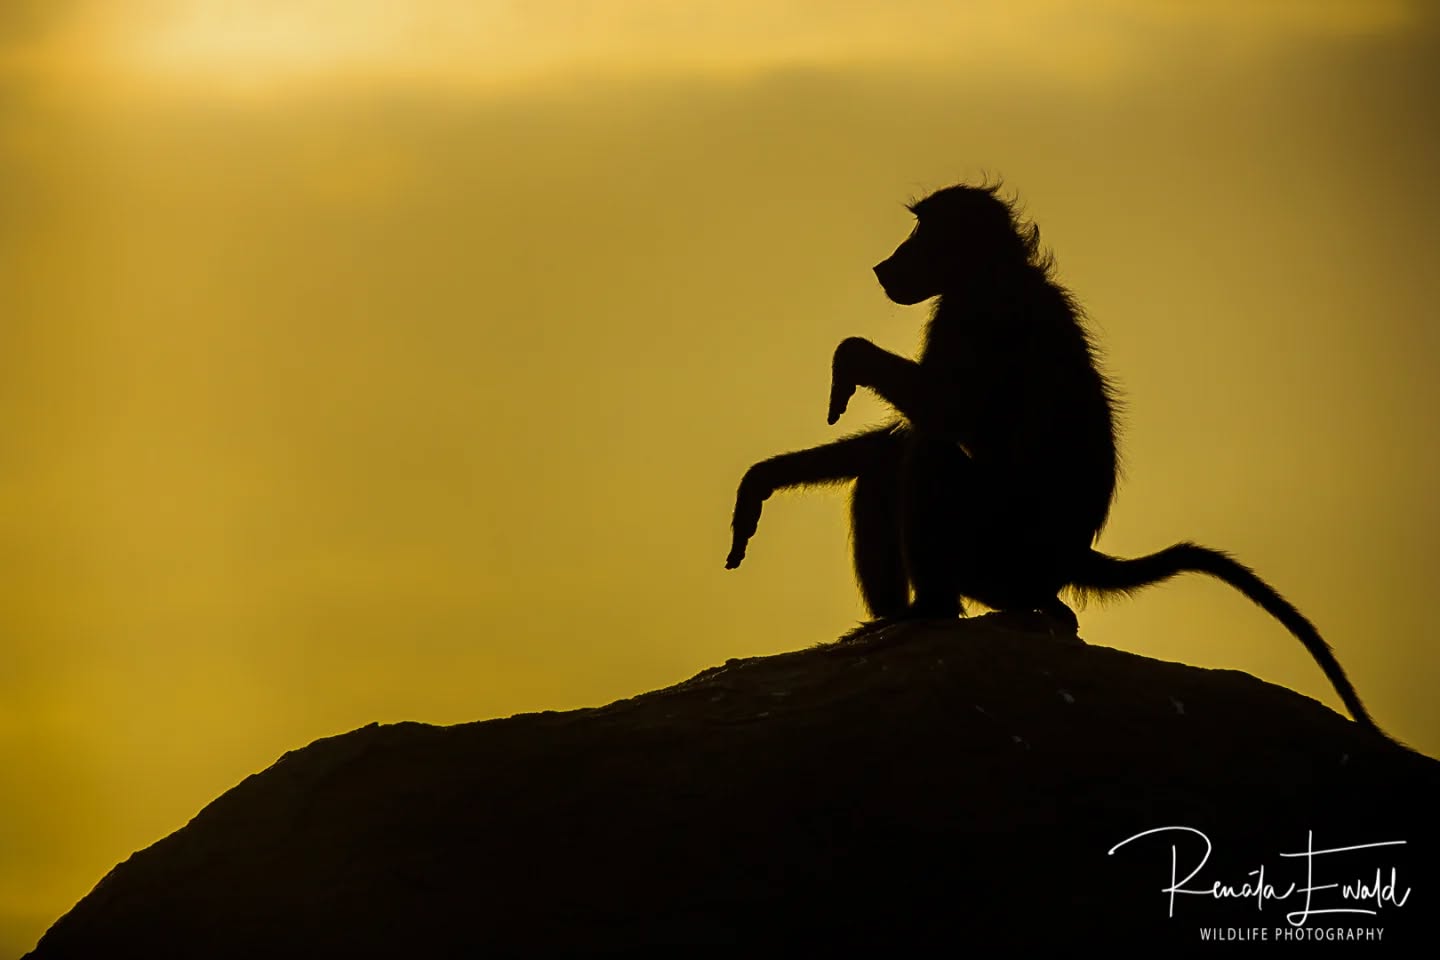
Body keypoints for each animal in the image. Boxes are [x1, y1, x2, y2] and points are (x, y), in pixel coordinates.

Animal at [724, 181, 1383, 736]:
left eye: (920, 234)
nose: (884, 265)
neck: (995, 272)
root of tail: (1069, 559)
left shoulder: (975, 316)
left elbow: (947, 417)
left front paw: (849, 361)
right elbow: (911, 433)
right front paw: (763, 480)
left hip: (999, 562)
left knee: (931, 456)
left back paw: (930, 610)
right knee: (894, 465)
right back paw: (893, 621)